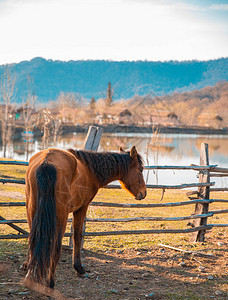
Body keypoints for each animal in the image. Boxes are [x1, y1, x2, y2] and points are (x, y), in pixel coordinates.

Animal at [24, 145, 146, 288]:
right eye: (140, 169)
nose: (144, 193)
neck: (89, 170)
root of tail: (46, 162)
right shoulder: (82, 208)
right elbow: (77, 237)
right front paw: (79, 268)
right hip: (61, 216)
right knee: (56, 246)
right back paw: (50, 282)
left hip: (31, 210)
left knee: (33, 240)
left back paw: (30, 273)